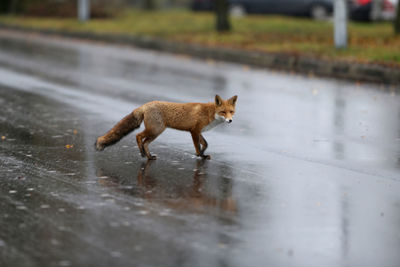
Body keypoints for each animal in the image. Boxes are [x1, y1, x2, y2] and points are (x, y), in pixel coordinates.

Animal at [95, 95, 236, 160]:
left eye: (231, 112)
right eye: (223, 112)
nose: (230, 121)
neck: (208, 113)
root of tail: (146, 104)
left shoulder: (198, 131)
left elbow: (205, 144)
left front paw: (203, 154)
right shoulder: (194, 131)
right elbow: (198, 146)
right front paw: (199, 155)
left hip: (155, 132)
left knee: (145, 143)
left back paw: (149, 156)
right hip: (155, 130)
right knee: (138, 136)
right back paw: (142, 153)